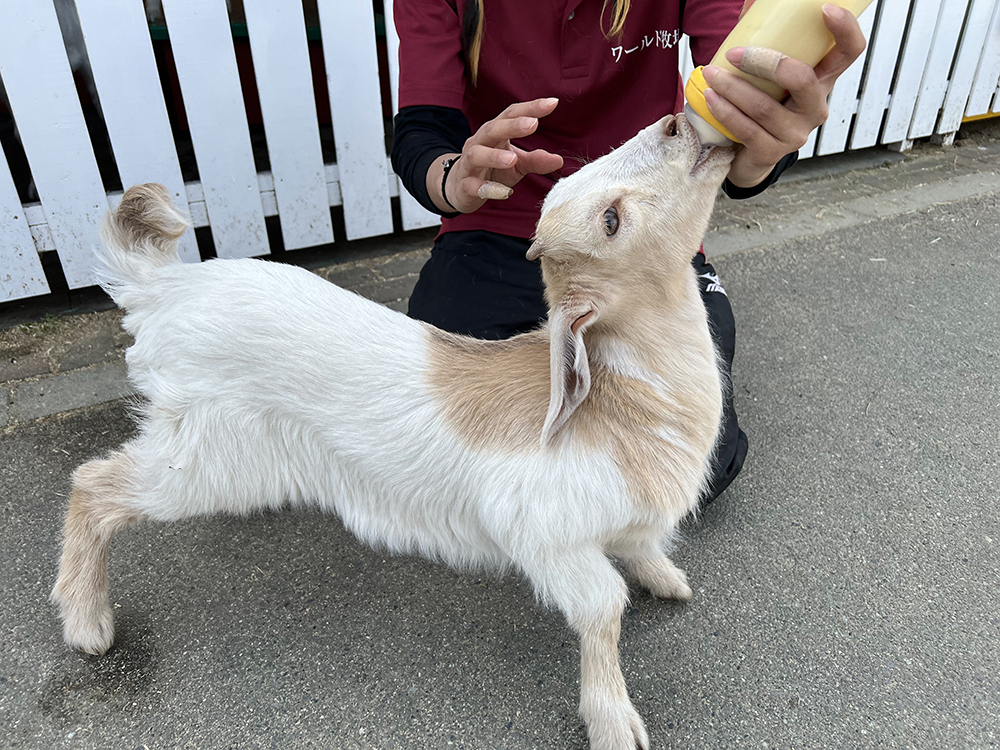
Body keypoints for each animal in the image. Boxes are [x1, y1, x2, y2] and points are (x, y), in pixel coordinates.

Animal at [52, 114, 736, 750]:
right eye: (612, 221)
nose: (678, 122)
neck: (622, 397)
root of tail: (163, 288)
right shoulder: (546, 538)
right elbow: (603, 609)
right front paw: (614, 721)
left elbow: (641, 549)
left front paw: (666, 581)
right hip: (205, 460)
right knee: (92, 484)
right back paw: (87, 626)